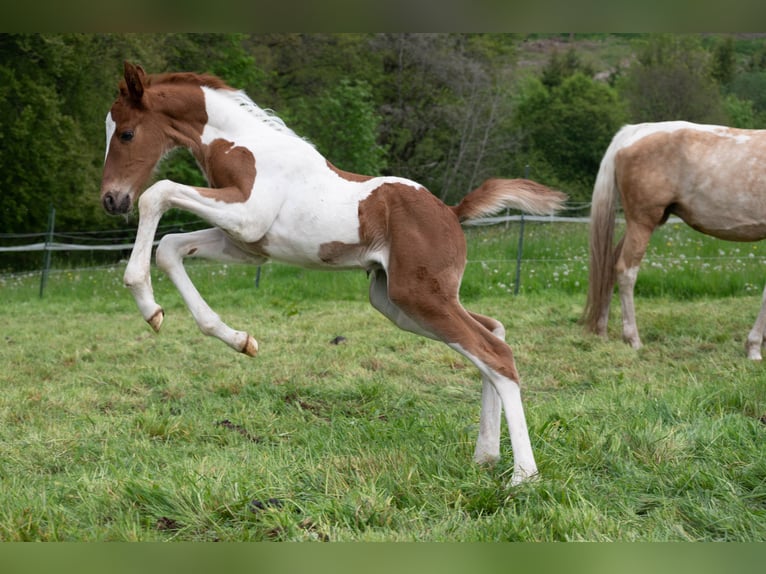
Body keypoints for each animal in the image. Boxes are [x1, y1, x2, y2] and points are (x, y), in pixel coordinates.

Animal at [99, 63, 568, 486]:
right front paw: (231, 337)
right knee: (493, 333)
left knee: (495, 353)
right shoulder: (247, 246)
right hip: (399, 301)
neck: (244, 147)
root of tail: (452, 213)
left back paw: (523, 476)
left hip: (420, 296)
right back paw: (485, 456)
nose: (111, 199)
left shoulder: (247, 217)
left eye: (127, 133)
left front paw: (144, 298)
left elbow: (158, 194)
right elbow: (169, 248)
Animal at [584, 122, 766, 360]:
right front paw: (753, 348)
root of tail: (634, 132)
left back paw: (602, 331)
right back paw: (633, 340)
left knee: (609, 263)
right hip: (642, 223)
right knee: (626, 271)